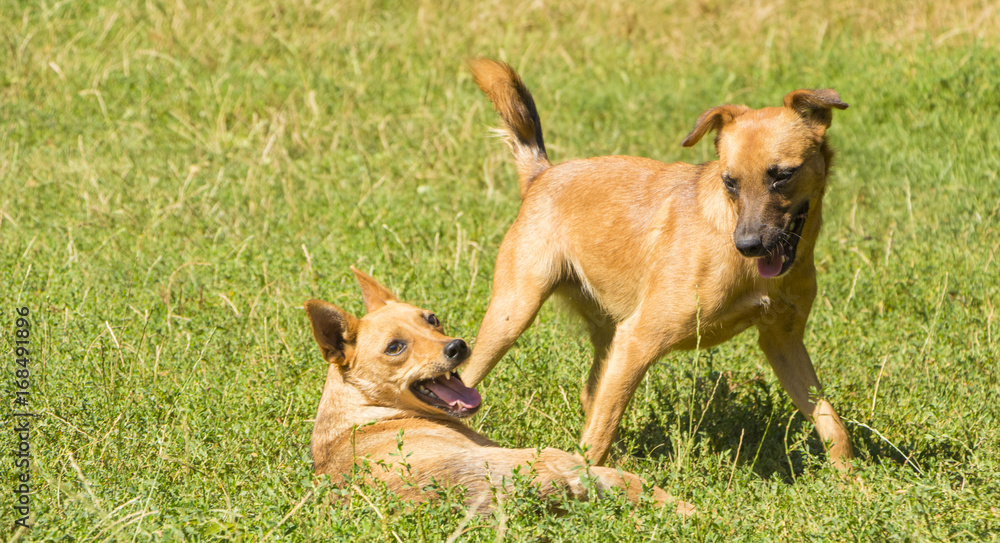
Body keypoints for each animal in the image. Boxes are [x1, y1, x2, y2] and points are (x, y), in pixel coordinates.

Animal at [464, 57, 856, 470]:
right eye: (729, 182)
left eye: (783, 175)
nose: (748, 245)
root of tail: (541, 174)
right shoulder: (638, 338)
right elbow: (599, 436)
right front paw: (584, 479)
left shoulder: (783, 340)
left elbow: (831, 423)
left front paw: (850, 477)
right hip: (513, 314)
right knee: (467, 382)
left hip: (606, 332)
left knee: (592, 397)